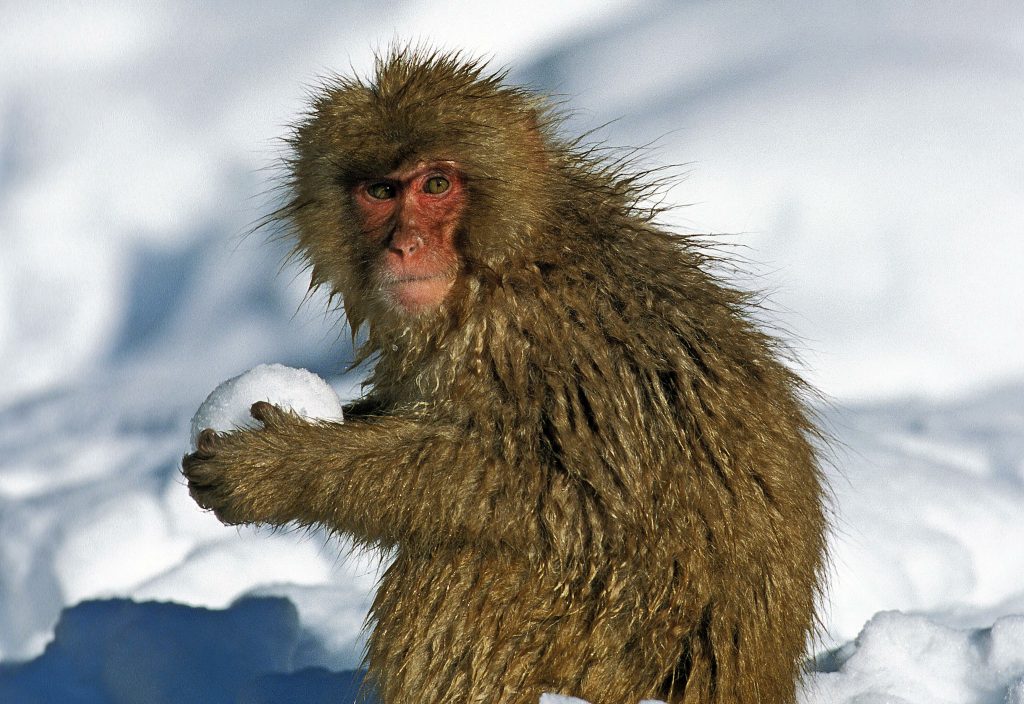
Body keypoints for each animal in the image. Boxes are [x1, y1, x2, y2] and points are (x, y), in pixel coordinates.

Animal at [182, 49, 823, 704]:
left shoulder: (537, 339)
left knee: (469, 566)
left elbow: (564, 499)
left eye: (436, 185)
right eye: (380, 191)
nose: (405, 245)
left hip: (619, 653)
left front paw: (280, 468)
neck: (502, 263)